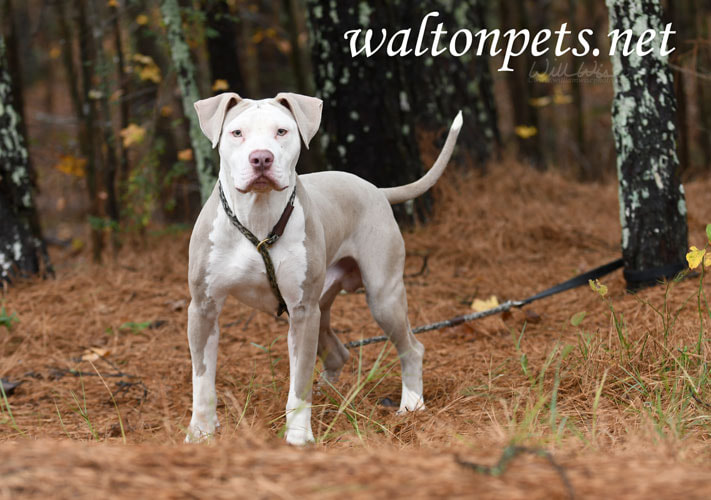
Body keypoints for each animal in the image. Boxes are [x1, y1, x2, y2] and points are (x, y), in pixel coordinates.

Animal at [186, 92, 464, 444]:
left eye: (282, 131)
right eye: (237, 133)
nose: (261, 158)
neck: (258, 220)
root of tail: (375, 188)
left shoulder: (303, 312)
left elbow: (299, 380)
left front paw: (298, 436)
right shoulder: (203, 308)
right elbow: (202, 380)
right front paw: (200, 433)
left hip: (382, 298)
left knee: (412, 348)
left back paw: (411, 404)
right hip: (322, 306)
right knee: (338, 353)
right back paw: (328, 394)